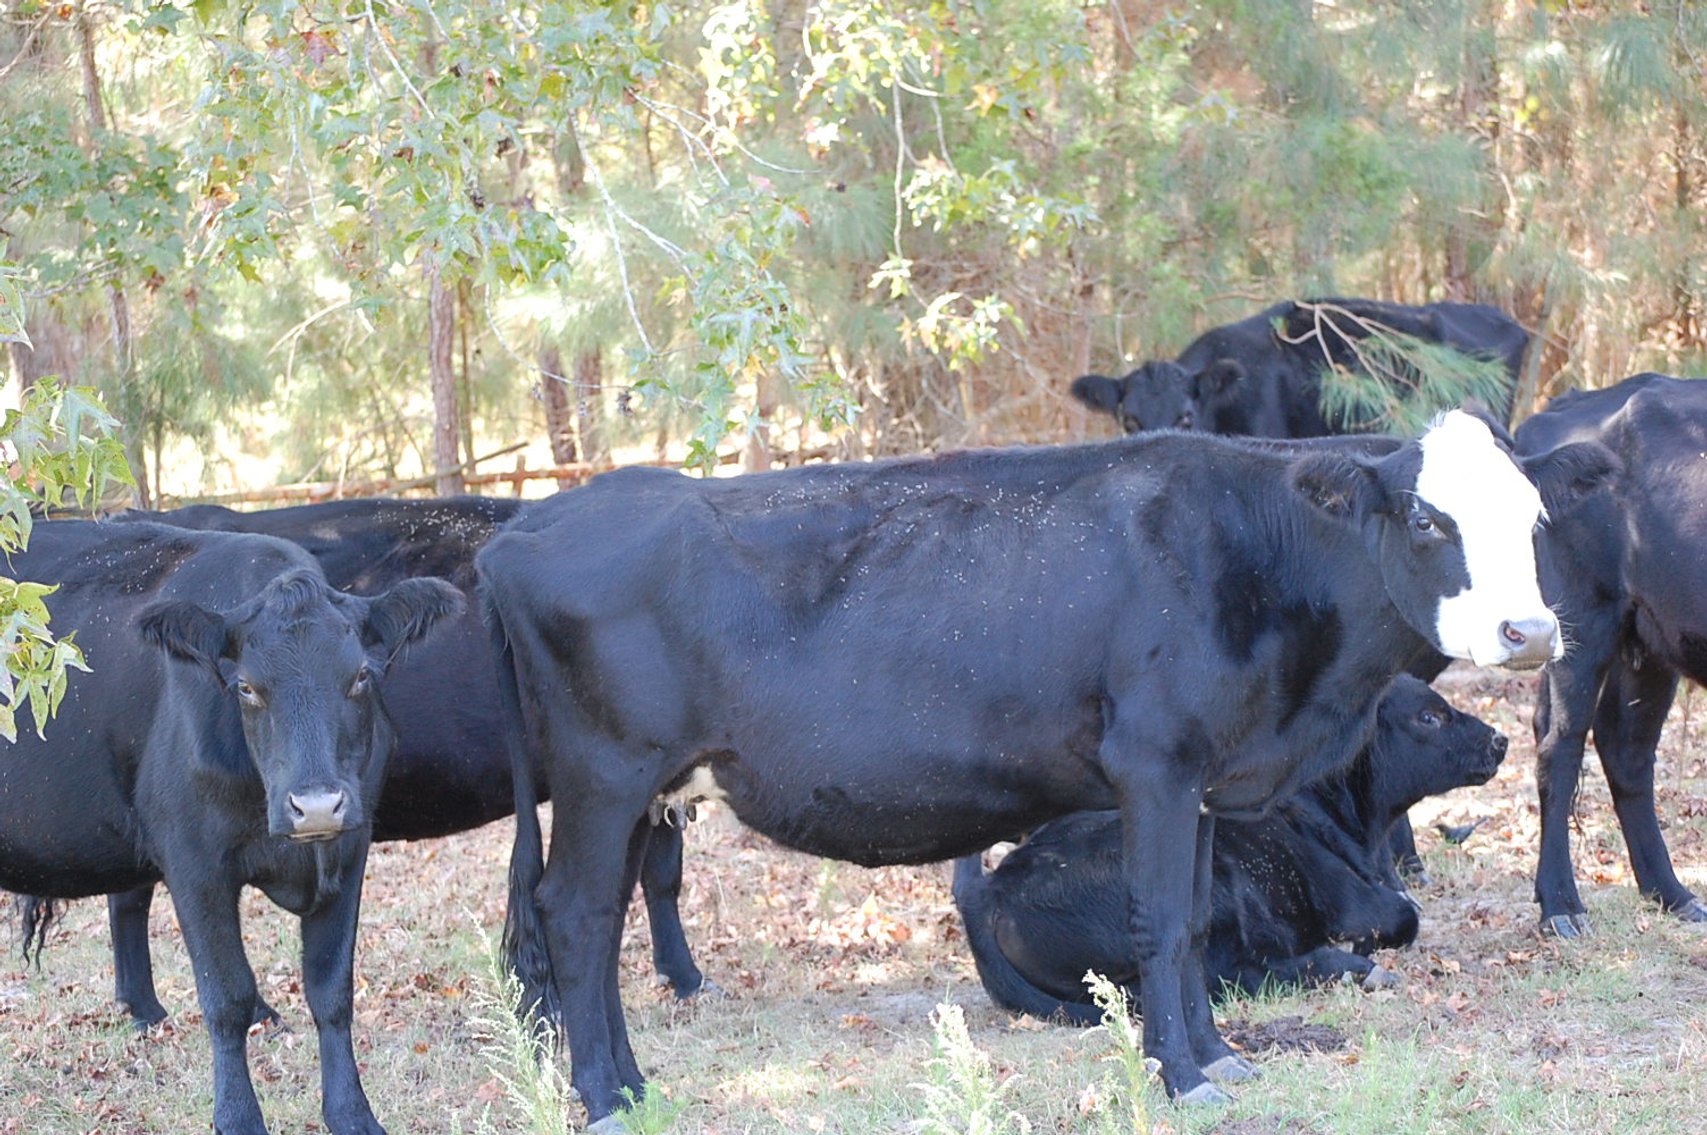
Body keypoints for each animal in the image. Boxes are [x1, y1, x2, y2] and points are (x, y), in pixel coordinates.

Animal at [0, 519, 460, 1135]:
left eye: (362, 676)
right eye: (246, 687)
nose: (316, 806)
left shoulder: (349, 850)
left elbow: (332, 992)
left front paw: (353, 1115)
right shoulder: (194, 862)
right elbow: (227, 998)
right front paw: (239, 1117)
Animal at [951, 675, 1509, 1023]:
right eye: (1429, 717)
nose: (1499, 740)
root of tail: (993, 893)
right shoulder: (1352, 899)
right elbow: (1403, 917)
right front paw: (1360, 951)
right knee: (1221, 975)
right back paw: (1345, 967)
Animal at [1514, 372, 1707, 936]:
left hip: (1651, 637)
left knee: (1626, 750)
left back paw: (1671, 892)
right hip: (1582, 616)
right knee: (1560, 745)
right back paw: (1561, 904)